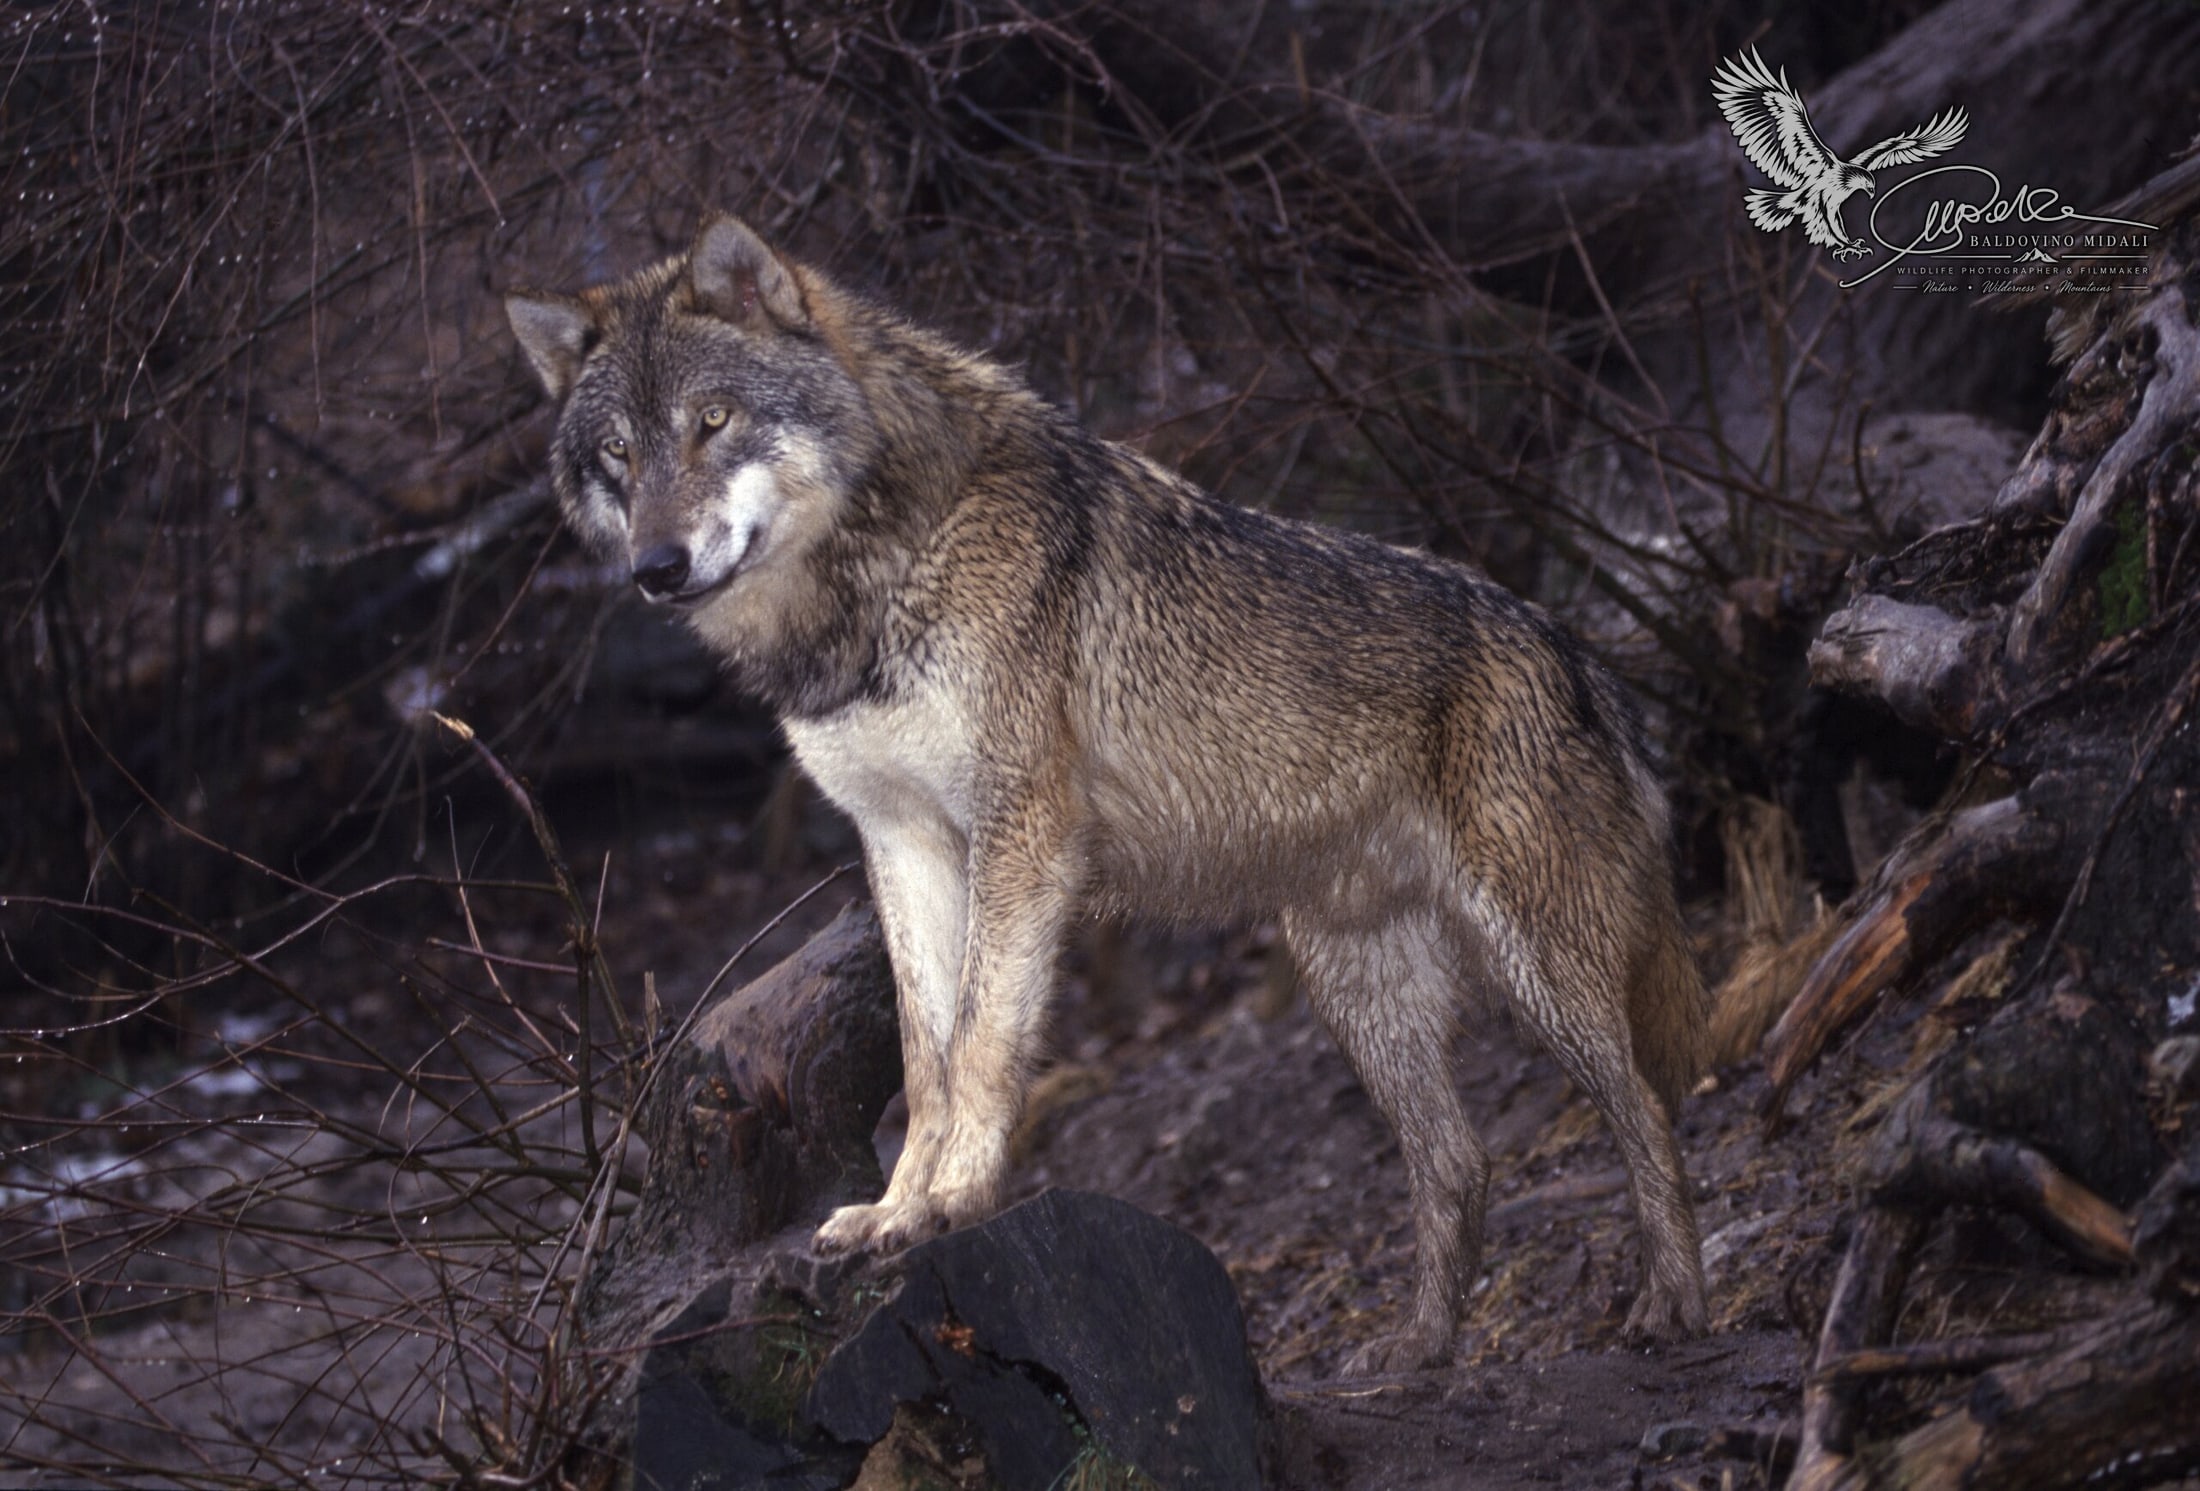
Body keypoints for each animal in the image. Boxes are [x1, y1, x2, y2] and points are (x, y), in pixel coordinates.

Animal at [505, 215, 1710, 1368]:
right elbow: (924, 1058)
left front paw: (952, 1203)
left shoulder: (1021, 830)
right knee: (1458, 1163)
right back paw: (1418, 1352)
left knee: (1649, 1108)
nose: (656, 568)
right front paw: (893, 1210)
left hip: (1538, 963)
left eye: (713, 420)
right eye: (618, 453)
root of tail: (1578, 654)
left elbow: (982, 1038)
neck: (874, 576)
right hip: (1358, 992)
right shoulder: (900, 841)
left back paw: (1670, 1306)